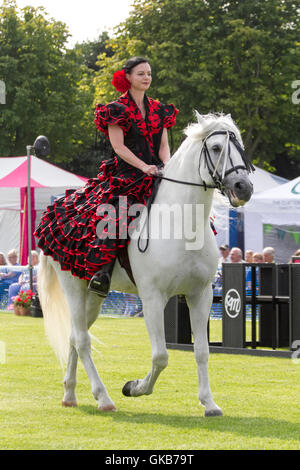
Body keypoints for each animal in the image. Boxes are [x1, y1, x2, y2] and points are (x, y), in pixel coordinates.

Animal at [37, 112, 253, 416]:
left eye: (240, 146)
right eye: (215, 148)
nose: (244, 188)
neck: (180, 223)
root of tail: (55, 210)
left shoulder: (201, 295)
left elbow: (202, 351)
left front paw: (209, 403)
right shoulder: (153, 298)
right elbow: (161, 356)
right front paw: (135, 387)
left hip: (93, 295)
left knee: (74, 335)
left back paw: (69, 394)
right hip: (73, 287)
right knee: (82, 340)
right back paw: (103, 398)